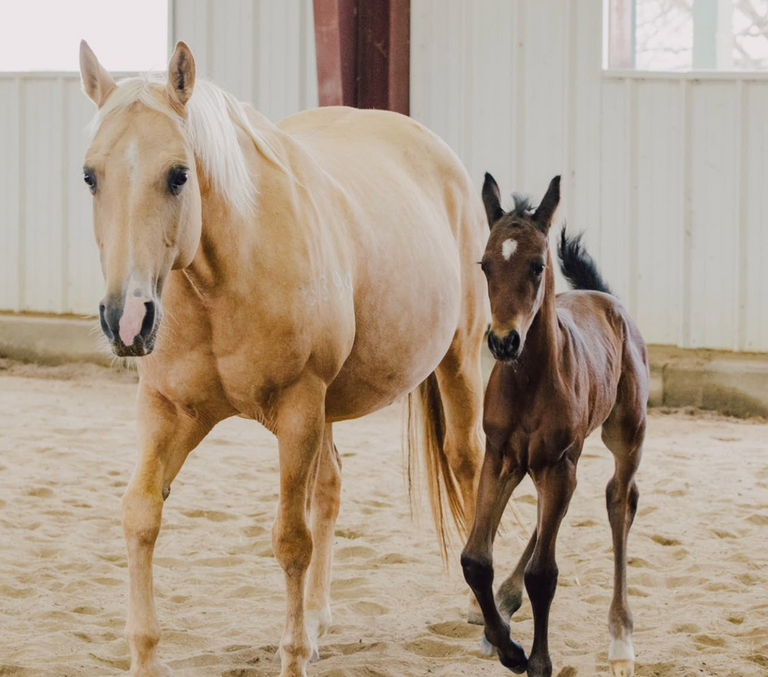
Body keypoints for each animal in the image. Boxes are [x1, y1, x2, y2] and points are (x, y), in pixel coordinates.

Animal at [79, 40, 487, 677]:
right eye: (90, 175)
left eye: (178, 175)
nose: (127, 319)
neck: (220, 281)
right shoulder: (167, 410)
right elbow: (140, 514)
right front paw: (145, 653)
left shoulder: (298, 409)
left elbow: (292, 540)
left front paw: (292, 655)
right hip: (330, 409)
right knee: (332, 487)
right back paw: (317, 618)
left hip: (458, 360)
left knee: (468, 461)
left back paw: (483, 608)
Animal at [461, 174, 648, 677]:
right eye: (485, 265)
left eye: (537, 266)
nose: (503, 342)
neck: (528, 380)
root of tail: (608, 299)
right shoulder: (500, 457)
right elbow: (475, 559)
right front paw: (506, 645)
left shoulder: (556, 462)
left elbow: (544, 574)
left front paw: (536, 661)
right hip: (557, 459)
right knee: (557, 513)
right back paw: (506, 601)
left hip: (625, 434)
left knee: (619, 499)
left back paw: (621, 637)